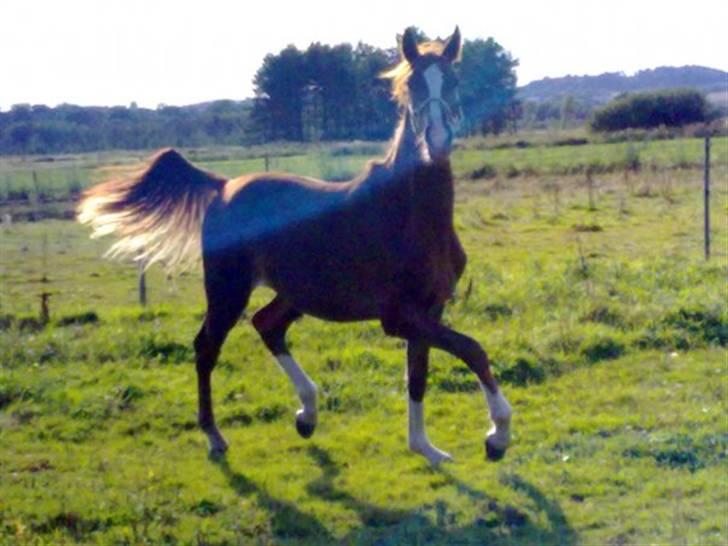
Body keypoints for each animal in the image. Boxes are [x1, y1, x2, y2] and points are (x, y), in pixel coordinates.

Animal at [78, 27, 512, 464]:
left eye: (452, 81)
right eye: (412, 85)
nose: (436, 141)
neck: (410, 216)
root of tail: (223, 186)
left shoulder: (429, 309)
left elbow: (419, 375)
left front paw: (425, 447)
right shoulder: (397, 316)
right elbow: (472, 349)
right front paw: (497, 436)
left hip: (295, 293)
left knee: (266, 324)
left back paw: (307, 414)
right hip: (227, 290)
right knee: (206, 347)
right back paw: (216, 437)